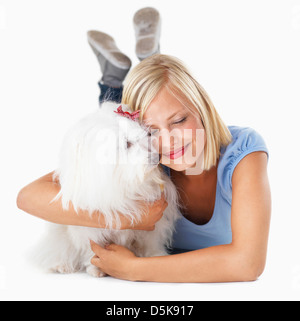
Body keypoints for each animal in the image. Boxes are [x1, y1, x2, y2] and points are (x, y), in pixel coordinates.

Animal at [34, 102, 182, 276]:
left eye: (147, 135)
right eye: (127, 144)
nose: (156, 157)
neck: (123, 182)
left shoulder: (154, 225)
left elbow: (150, 242)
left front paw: (155, 256)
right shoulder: (89, 227)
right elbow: (92, 248)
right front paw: (96, 268)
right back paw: (61, 265)